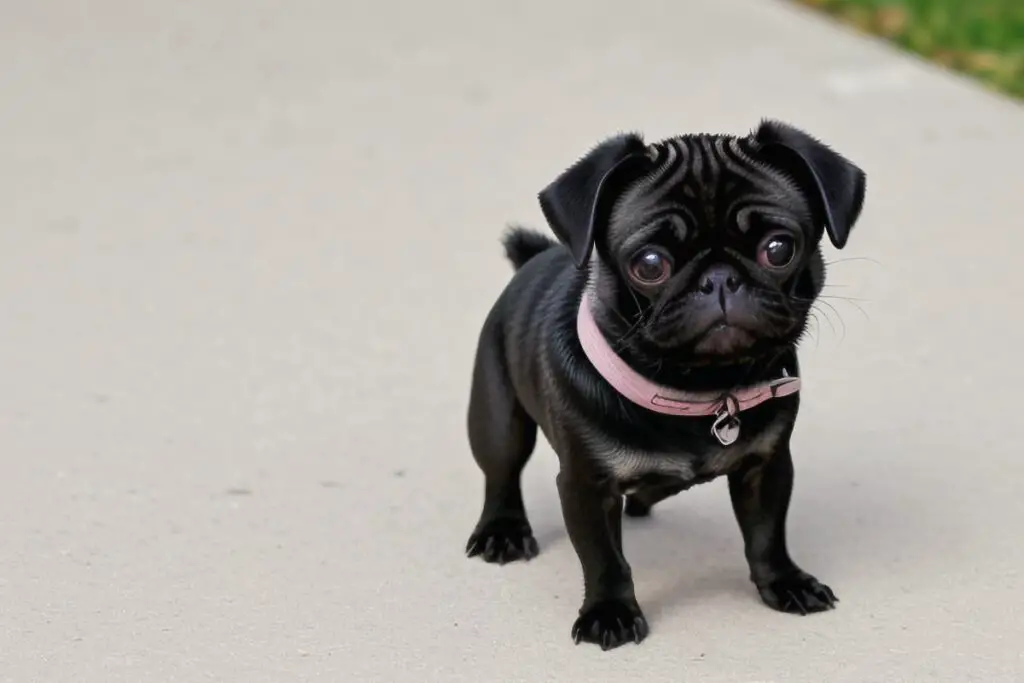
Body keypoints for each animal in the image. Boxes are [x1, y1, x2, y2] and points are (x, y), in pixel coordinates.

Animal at [464, 121, 864, 651]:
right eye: (650, 264)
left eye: (779, 249)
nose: (720, 279)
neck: (702, 390)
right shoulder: (586, 485)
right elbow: (604, 558)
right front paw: (609, 612)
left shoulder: (767, 466)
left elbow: (766, 534)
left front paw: (784, 582)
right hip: (497, 415)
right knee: (501, 471)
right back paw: (502, 529)